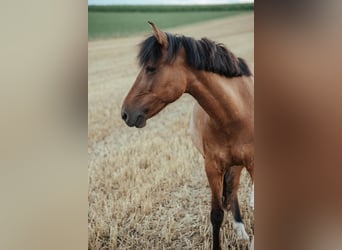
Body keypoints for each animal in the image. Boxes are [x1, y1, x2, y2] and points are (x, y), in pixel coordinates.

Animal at [121, 22, 254, 250]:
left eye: (151, 68)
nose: (125, 113)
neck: (236, 116)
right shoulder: (212, 167)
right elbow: (216, 215)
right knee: (232, 191)